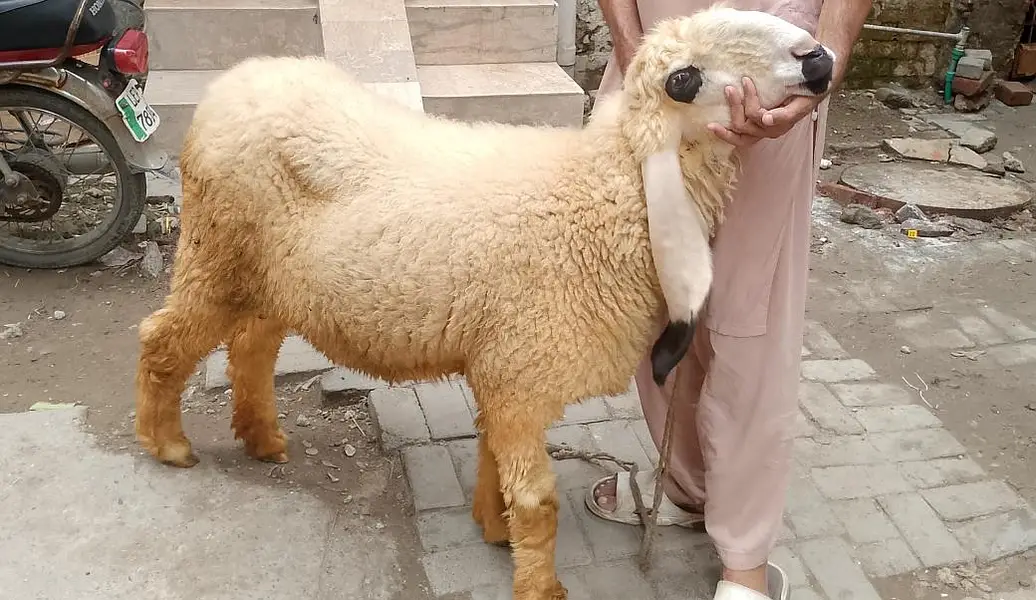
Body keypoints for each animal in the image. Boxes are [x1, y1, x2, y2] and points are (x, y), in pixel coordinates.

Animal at [133, 6, 835, 599]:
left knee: (250, 346)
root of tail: (231, 86)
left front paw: (492, 529)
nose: (818, 59)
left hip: (274, 278)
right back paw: (166, 445)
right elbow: (538, 502)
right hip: (216, 250)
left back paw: (263, 439)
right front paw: (539, 584)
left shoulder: (504, 371)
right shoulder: (520, 372)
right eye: (684, 80)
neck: (600, 195)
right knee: (164, 338)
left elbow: (493, 456)